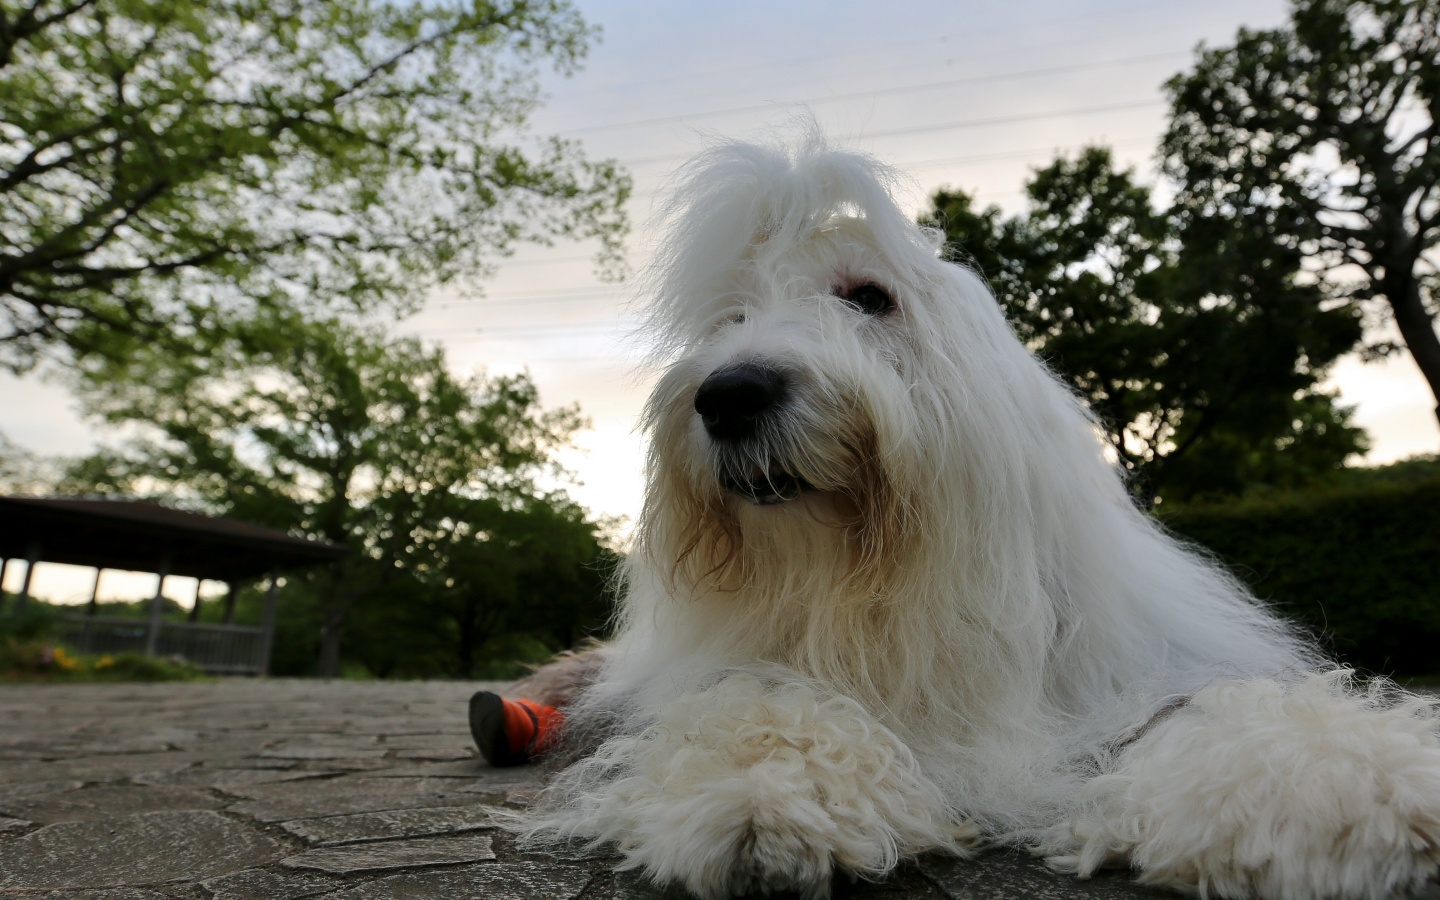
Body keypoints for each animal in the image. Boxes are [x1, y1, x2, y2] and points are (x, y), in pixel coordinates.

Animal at [518, 135, 1440, 900]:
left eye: (870, 298)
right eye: (730, 318)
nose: (730, 394)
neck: (865, 586)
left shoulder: (1126, 671)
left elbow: (1214, 713)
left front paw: (1353, 790)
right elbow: (755, 703)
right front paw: (766, 798)